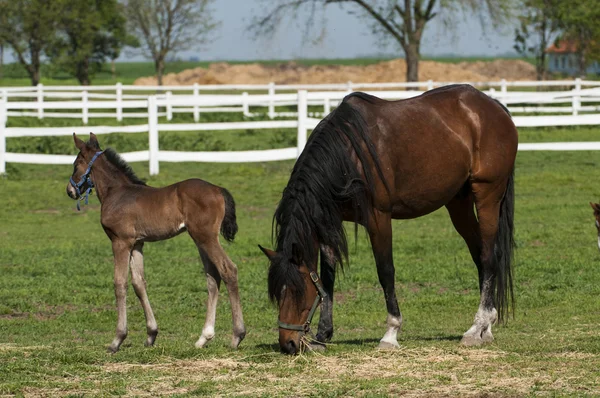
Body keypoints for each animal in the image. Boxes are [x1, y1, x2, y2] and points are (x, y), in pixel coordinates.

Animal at [65, 133, 244, 352]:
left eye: (76, 164)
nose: (70, 191)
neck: (116, 192)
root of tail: (218, 189)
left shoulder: (120, 241)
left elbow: (120, 283)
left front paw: (117, 340)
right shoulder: (136, 244)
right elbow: (139, 283)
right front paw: (151, 334)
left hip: (206, 237)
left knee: (228, 269)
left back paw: (237, 336)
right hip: (200, 239)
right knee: (212, 276)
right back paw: (203, 338)